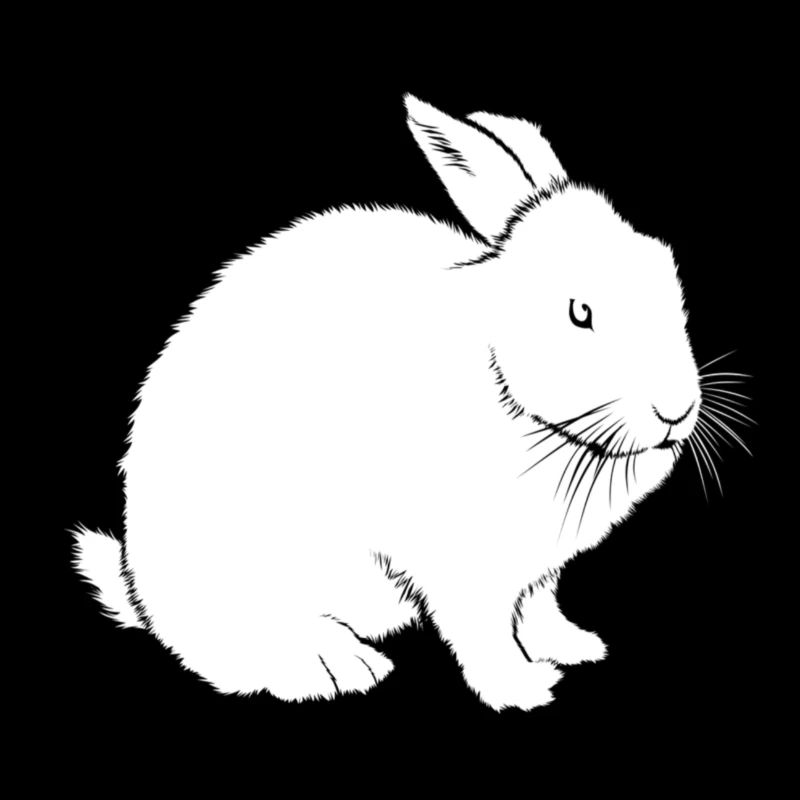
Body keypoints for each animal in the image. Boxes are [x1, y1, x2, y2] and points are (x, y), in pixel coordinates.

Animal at [71, 93, 708, 711]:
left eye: (667, 273)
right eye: (580, 313)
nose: (676, 411)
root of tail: (140, 590)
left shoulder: (535, 572)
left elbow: (536, 608)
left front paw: (574, 646)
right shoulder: (459, 564)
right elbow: (482, 630)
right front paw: (523, 689)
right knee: (239, 653)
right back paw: (336, 667)